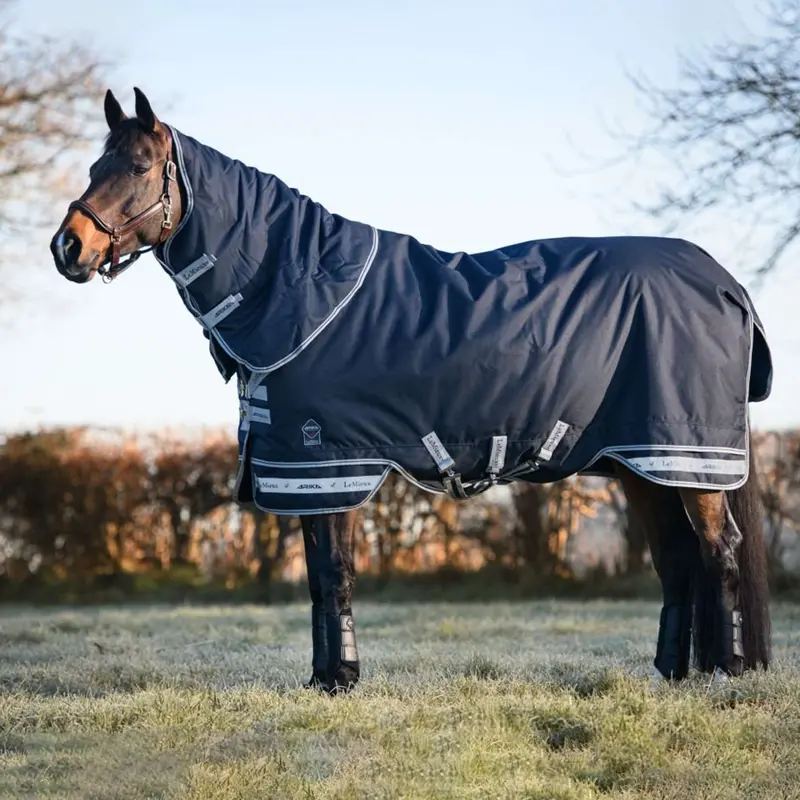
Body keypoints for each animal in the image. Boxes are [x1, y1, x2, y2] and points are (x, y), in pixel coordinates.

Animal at [50, 88, 773, 694]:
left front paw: (339, 679)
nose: (67, 247)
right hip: (641, 465)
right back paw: (670, 675)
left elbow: (334, 572)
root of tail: (727, 282)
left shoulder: (327, 462)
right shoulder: (310, 471)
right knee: (678, 561)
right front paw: (325, 678)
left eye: (139, 166)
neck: (300, 287)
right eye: (93, 166)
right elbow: (320, 576)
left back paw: (726, 674)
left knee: (719, 552)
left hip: (685, 458)